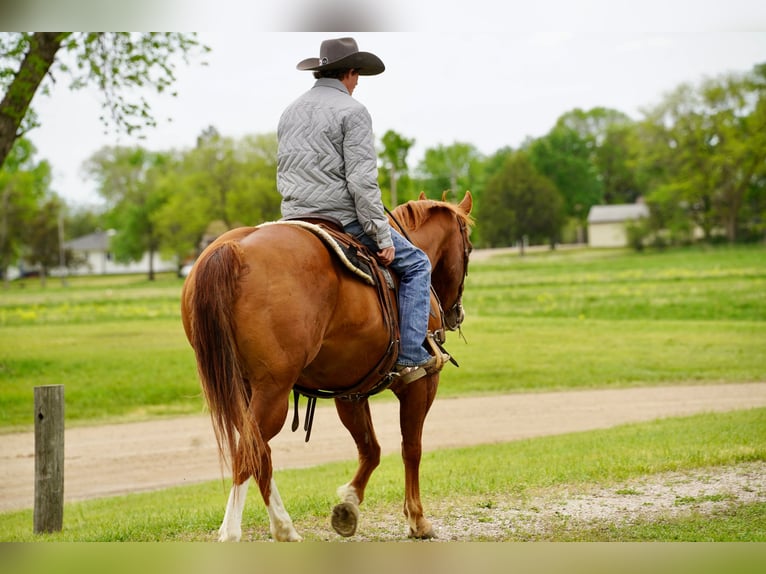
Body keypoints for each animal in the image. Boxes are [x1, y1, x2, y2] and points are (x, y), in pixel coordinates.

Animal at [181, 191, 473, 541]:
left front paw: (349, 504)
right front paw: (417, 520)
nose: (456, 313)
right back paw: (231, 532)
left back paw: (284, 528)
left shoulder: (350, 392)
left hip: (243, 390)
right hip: (272, 391)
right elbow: (411, 448)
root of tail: (234, 249)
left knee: (259, 453)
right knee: (248, 453)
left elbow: (370, 449)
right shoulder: (420, 383)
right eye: (469, 248)